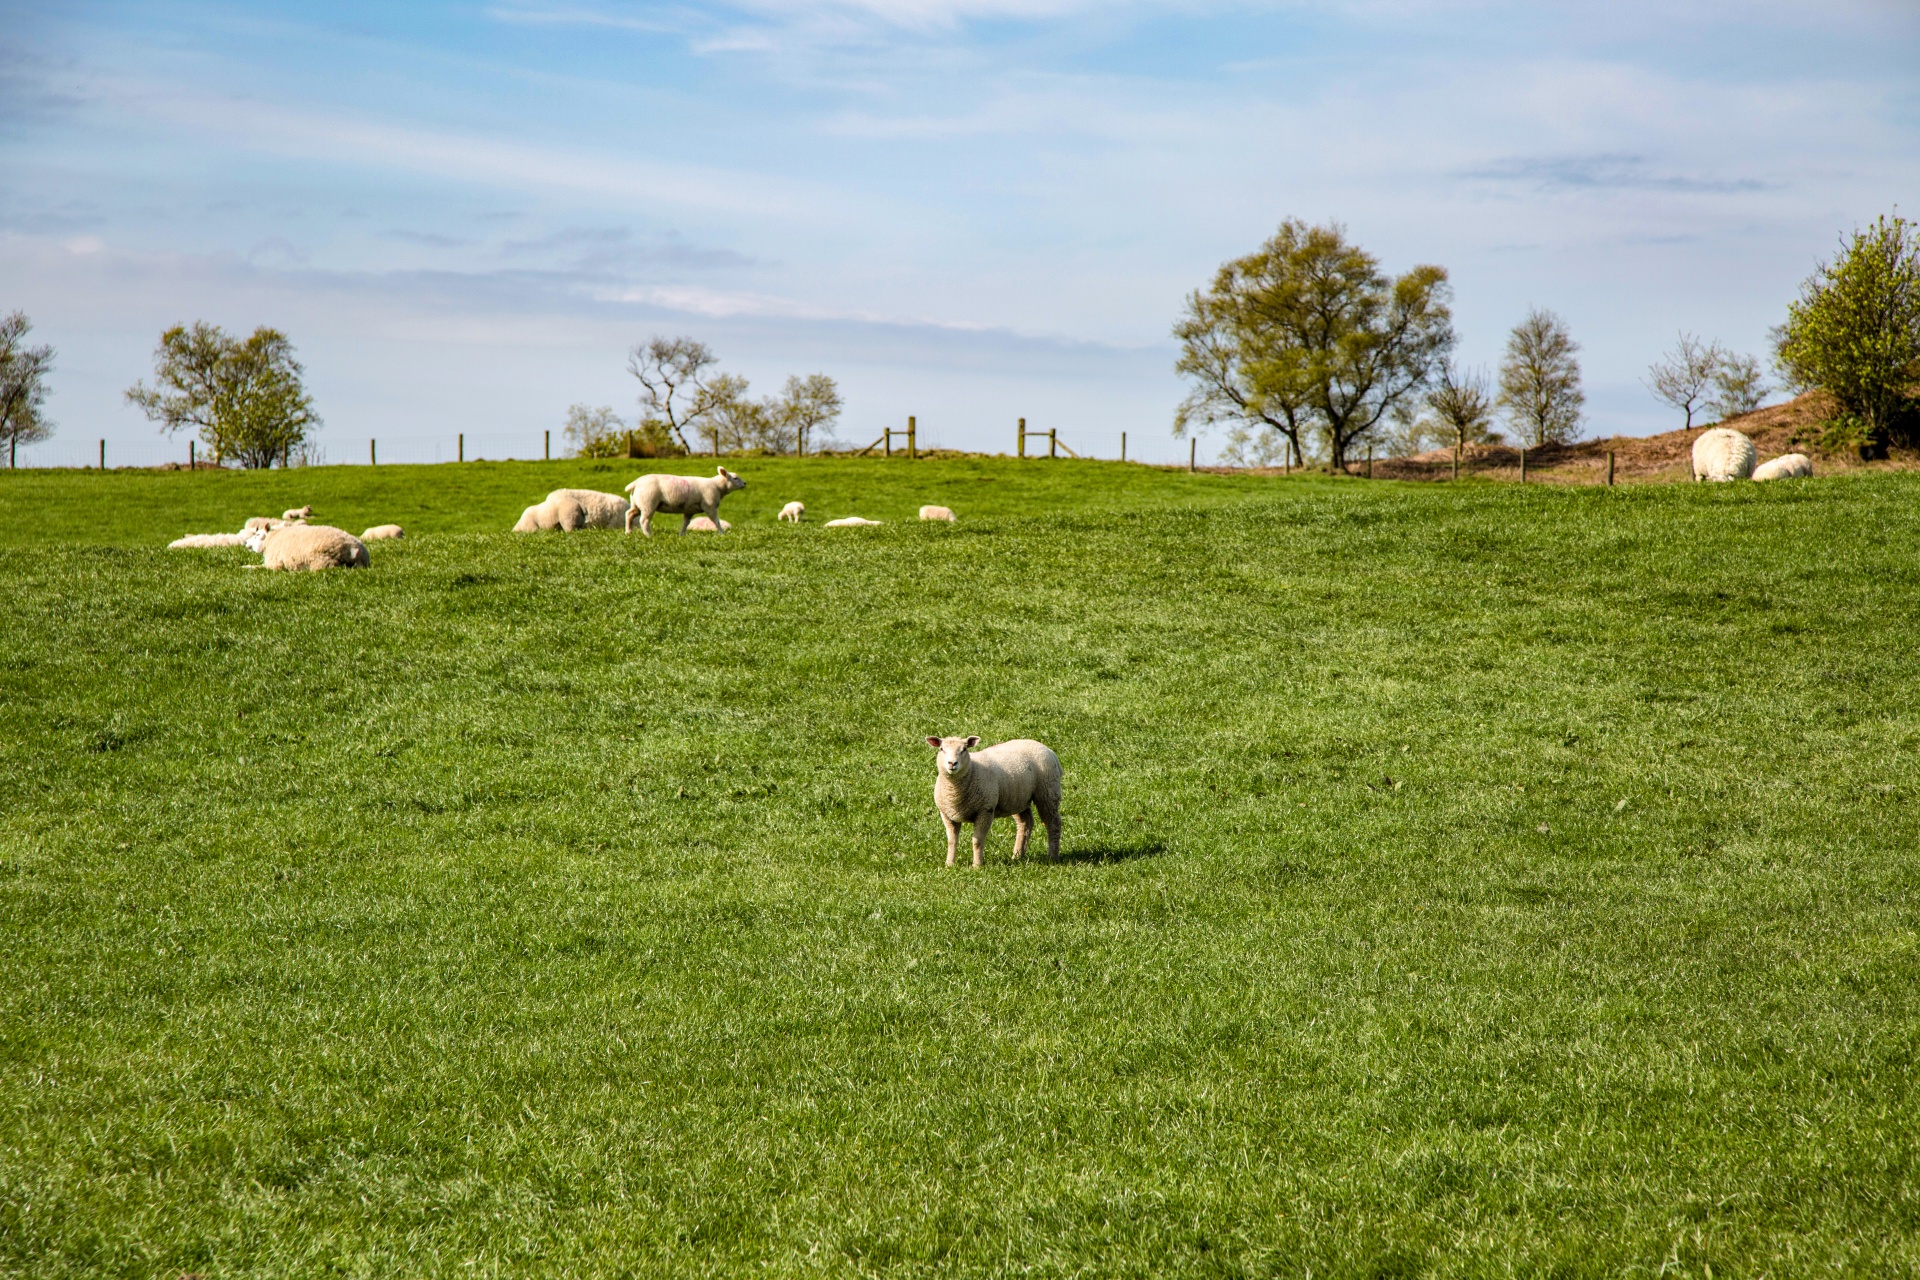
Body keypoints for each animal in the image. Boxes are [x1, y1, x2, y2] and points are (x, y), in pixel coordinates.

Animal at [921, 729, 1059, 871]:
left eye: (964, 749)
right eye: (941, 749)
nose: (952, 763)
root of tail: (1046, 748)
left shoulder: (985, 810)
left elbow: (977, 841)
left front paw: (977, 866)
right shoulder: (947, 815)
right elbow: (951, 841)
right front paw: (949, 865)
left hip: (1048, 792)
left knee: (1053, 823)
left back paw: (1051, 857)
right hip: (1017, 798)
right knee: (1025, 823)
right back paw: (1017, 856)